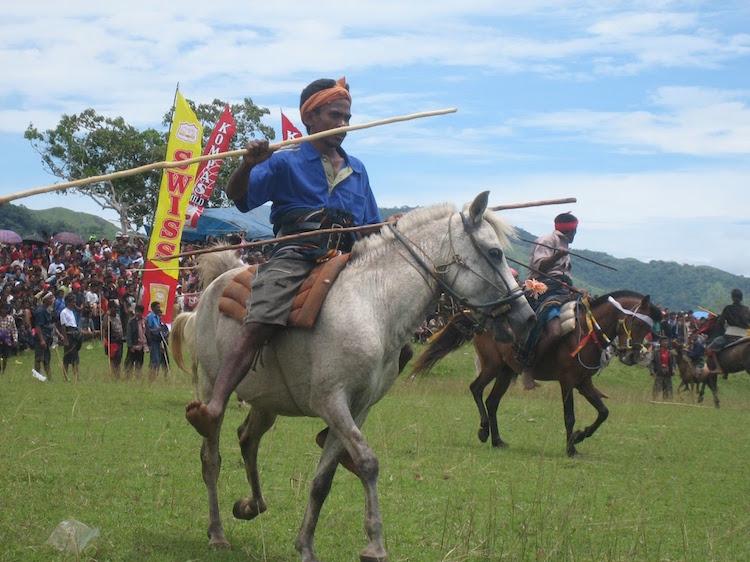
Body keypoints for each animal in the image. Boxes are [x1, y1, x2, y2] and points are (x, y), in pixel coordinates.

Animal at [172, 192, 536, 560]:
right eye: (494, 252)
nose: (527, 317)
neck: (372, 303)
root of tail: (215, 284)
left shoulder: (357, 408)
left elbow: (323, 480)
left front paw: (305, 546)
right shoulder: (332, 401)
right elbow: (367, 462)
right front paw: (374, 544)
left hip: (267, 402)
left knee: (248, 439)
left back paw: (250, 505)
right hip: (211, 385)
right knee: (211, 458)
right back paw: (217, 532)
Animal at [412, 288, 664, 456]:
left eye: (649, 328)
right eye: (637, 323)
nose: (633, 356)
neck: (585, 332)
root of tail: (481, 318)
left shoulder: (584, 382)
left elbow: (603, 412)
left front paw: (581, 435)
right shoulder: (567, 381)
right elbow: (569, 416)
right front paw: (571, 447)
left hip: (505, 371)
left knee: (492, 401)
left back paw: (497, 440)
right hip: (492, 365)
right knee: (476, 389)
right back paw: (484, 431)